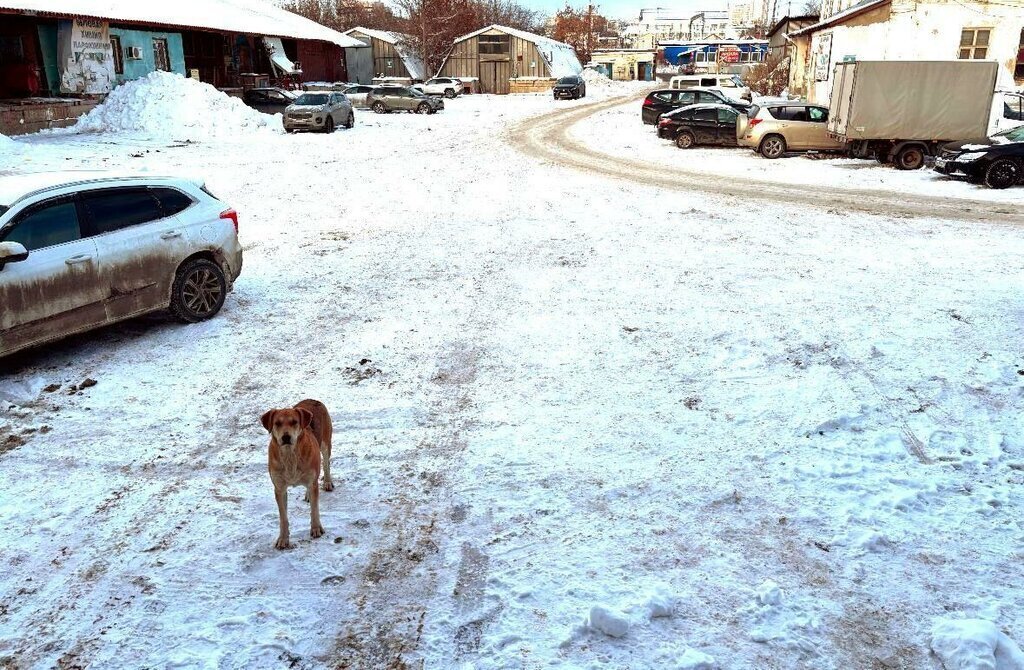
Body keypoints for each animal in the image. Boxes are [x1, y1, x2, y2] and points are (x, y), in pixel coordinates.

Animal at [262, 399, 333, 553]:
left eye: (294, 422)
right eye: (277, 423)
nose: (286, 437)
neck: (290, 455)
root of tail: (313, 399)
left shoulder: (312, 477)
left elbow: (314, 509)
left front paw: (316, 528)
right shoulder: (279, 488)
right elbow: (283, 517)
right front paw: (283, 539)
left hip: (326, 442)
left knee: (326, 463)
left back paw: (327, 482)